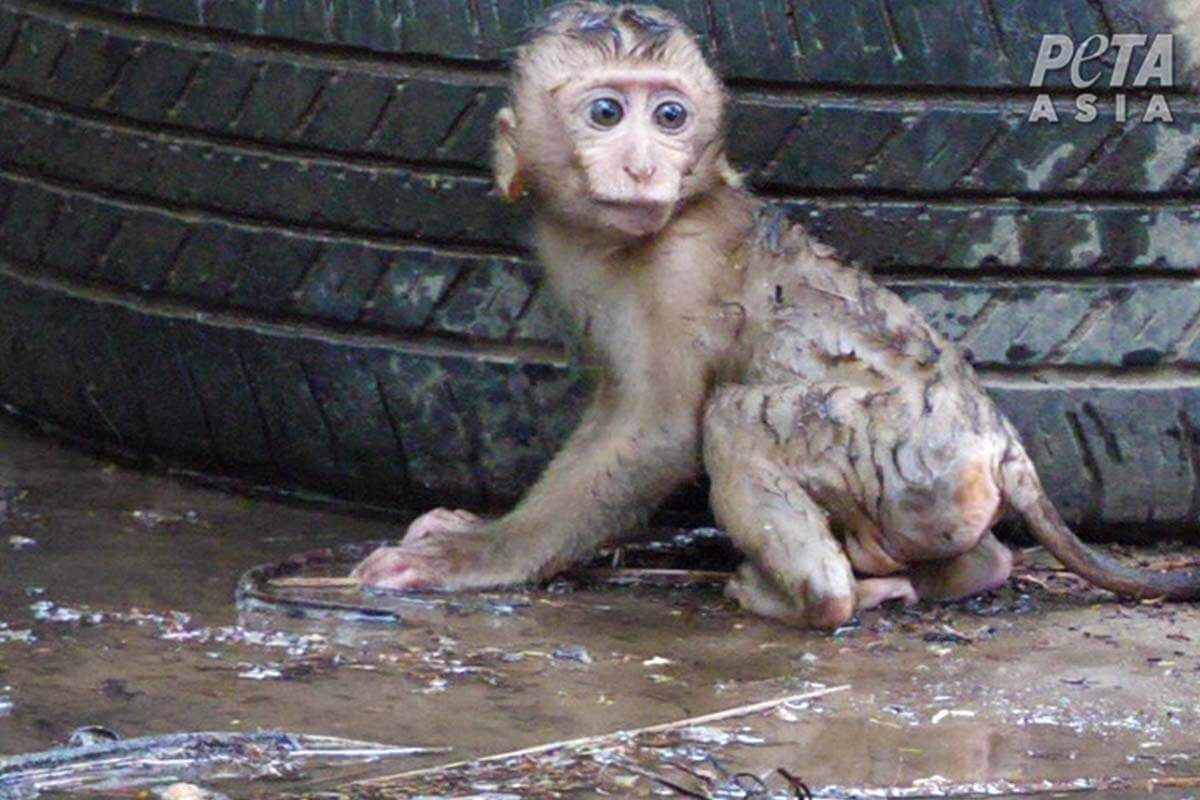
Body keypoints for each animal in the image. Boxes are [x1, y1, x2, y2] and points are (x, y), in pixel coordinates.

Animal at [352, 3, 1200, 628]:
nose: (642, 166)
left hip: (911, 457)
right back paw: (967, 573)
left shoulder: (677, 266)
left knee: (734, 420)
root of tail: (1002, 448)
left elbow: (656, 430)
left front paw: (473, 554)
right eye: (606, 112)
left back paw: (816, 600)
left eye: (669, 115)